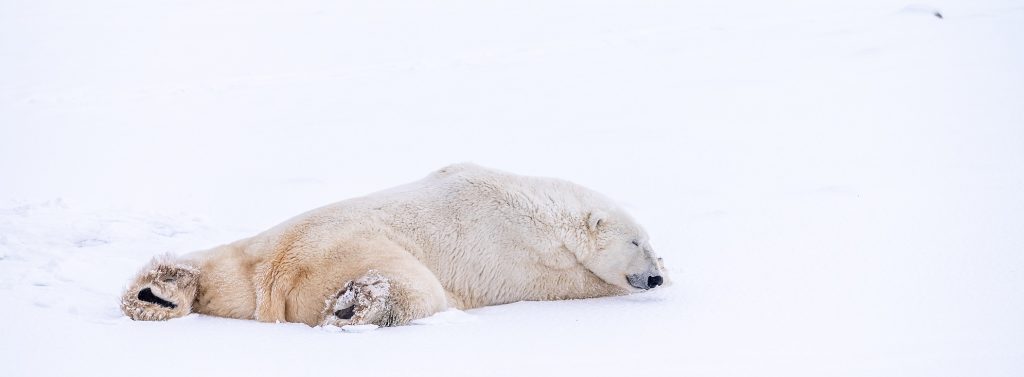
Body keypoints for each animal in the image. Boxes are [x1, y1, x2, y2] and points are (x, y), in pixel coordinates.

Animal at [119, 163, 667, 327]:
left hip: (257, 254)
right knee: (415, 288)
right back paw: (362, 303)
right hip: (359, 247)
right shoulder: (522, 253)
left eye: (651, 243)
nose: (658, 275)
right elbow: (578, 284)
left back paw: (157, 290)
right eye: (638, 241)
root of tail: (283, 269)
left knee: (220, 272)